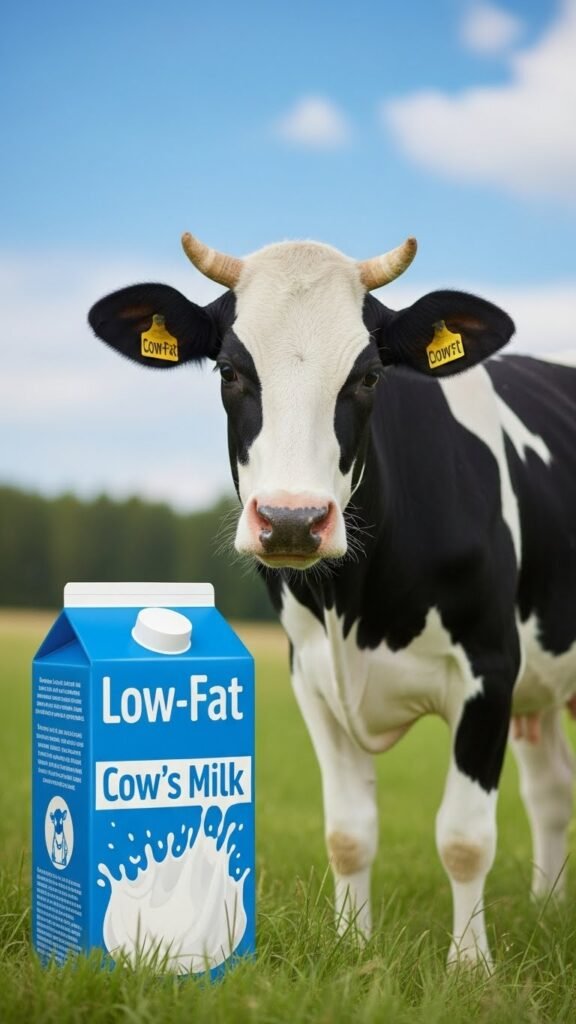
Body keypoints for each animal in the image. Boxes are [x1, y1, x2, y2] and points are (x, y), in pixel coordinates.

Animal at [88, 232, 576, 968]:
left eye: (369, 375)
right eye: (228, 370)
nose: (292, 520)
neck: (356, 607)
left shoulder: (489, 668)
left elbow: (465, 838)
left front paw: (470, 966)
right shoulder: (312, 676)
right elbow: (348, 833)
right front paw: (352, 946)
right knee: (550, 792)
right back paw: (547, 911)